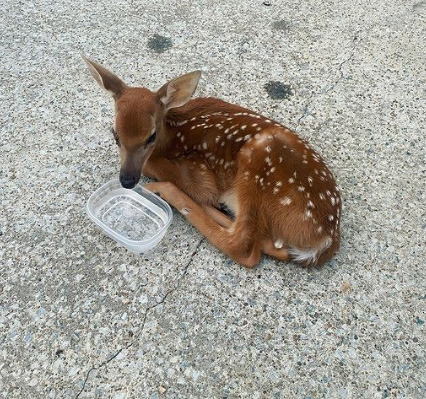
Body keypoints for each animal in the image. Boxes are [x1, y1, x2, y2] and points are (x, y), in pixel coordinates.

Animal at [84, 56, 342, 268]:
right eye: (115, 134)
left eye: (151, 136)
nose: (127, 181)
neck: (175, 134)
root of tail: (325, 241)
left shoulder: (201, 174)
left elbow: (159, 168)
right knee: (263, 241)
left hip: (261, 158)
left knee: (244, 247)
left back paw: (167, 192)